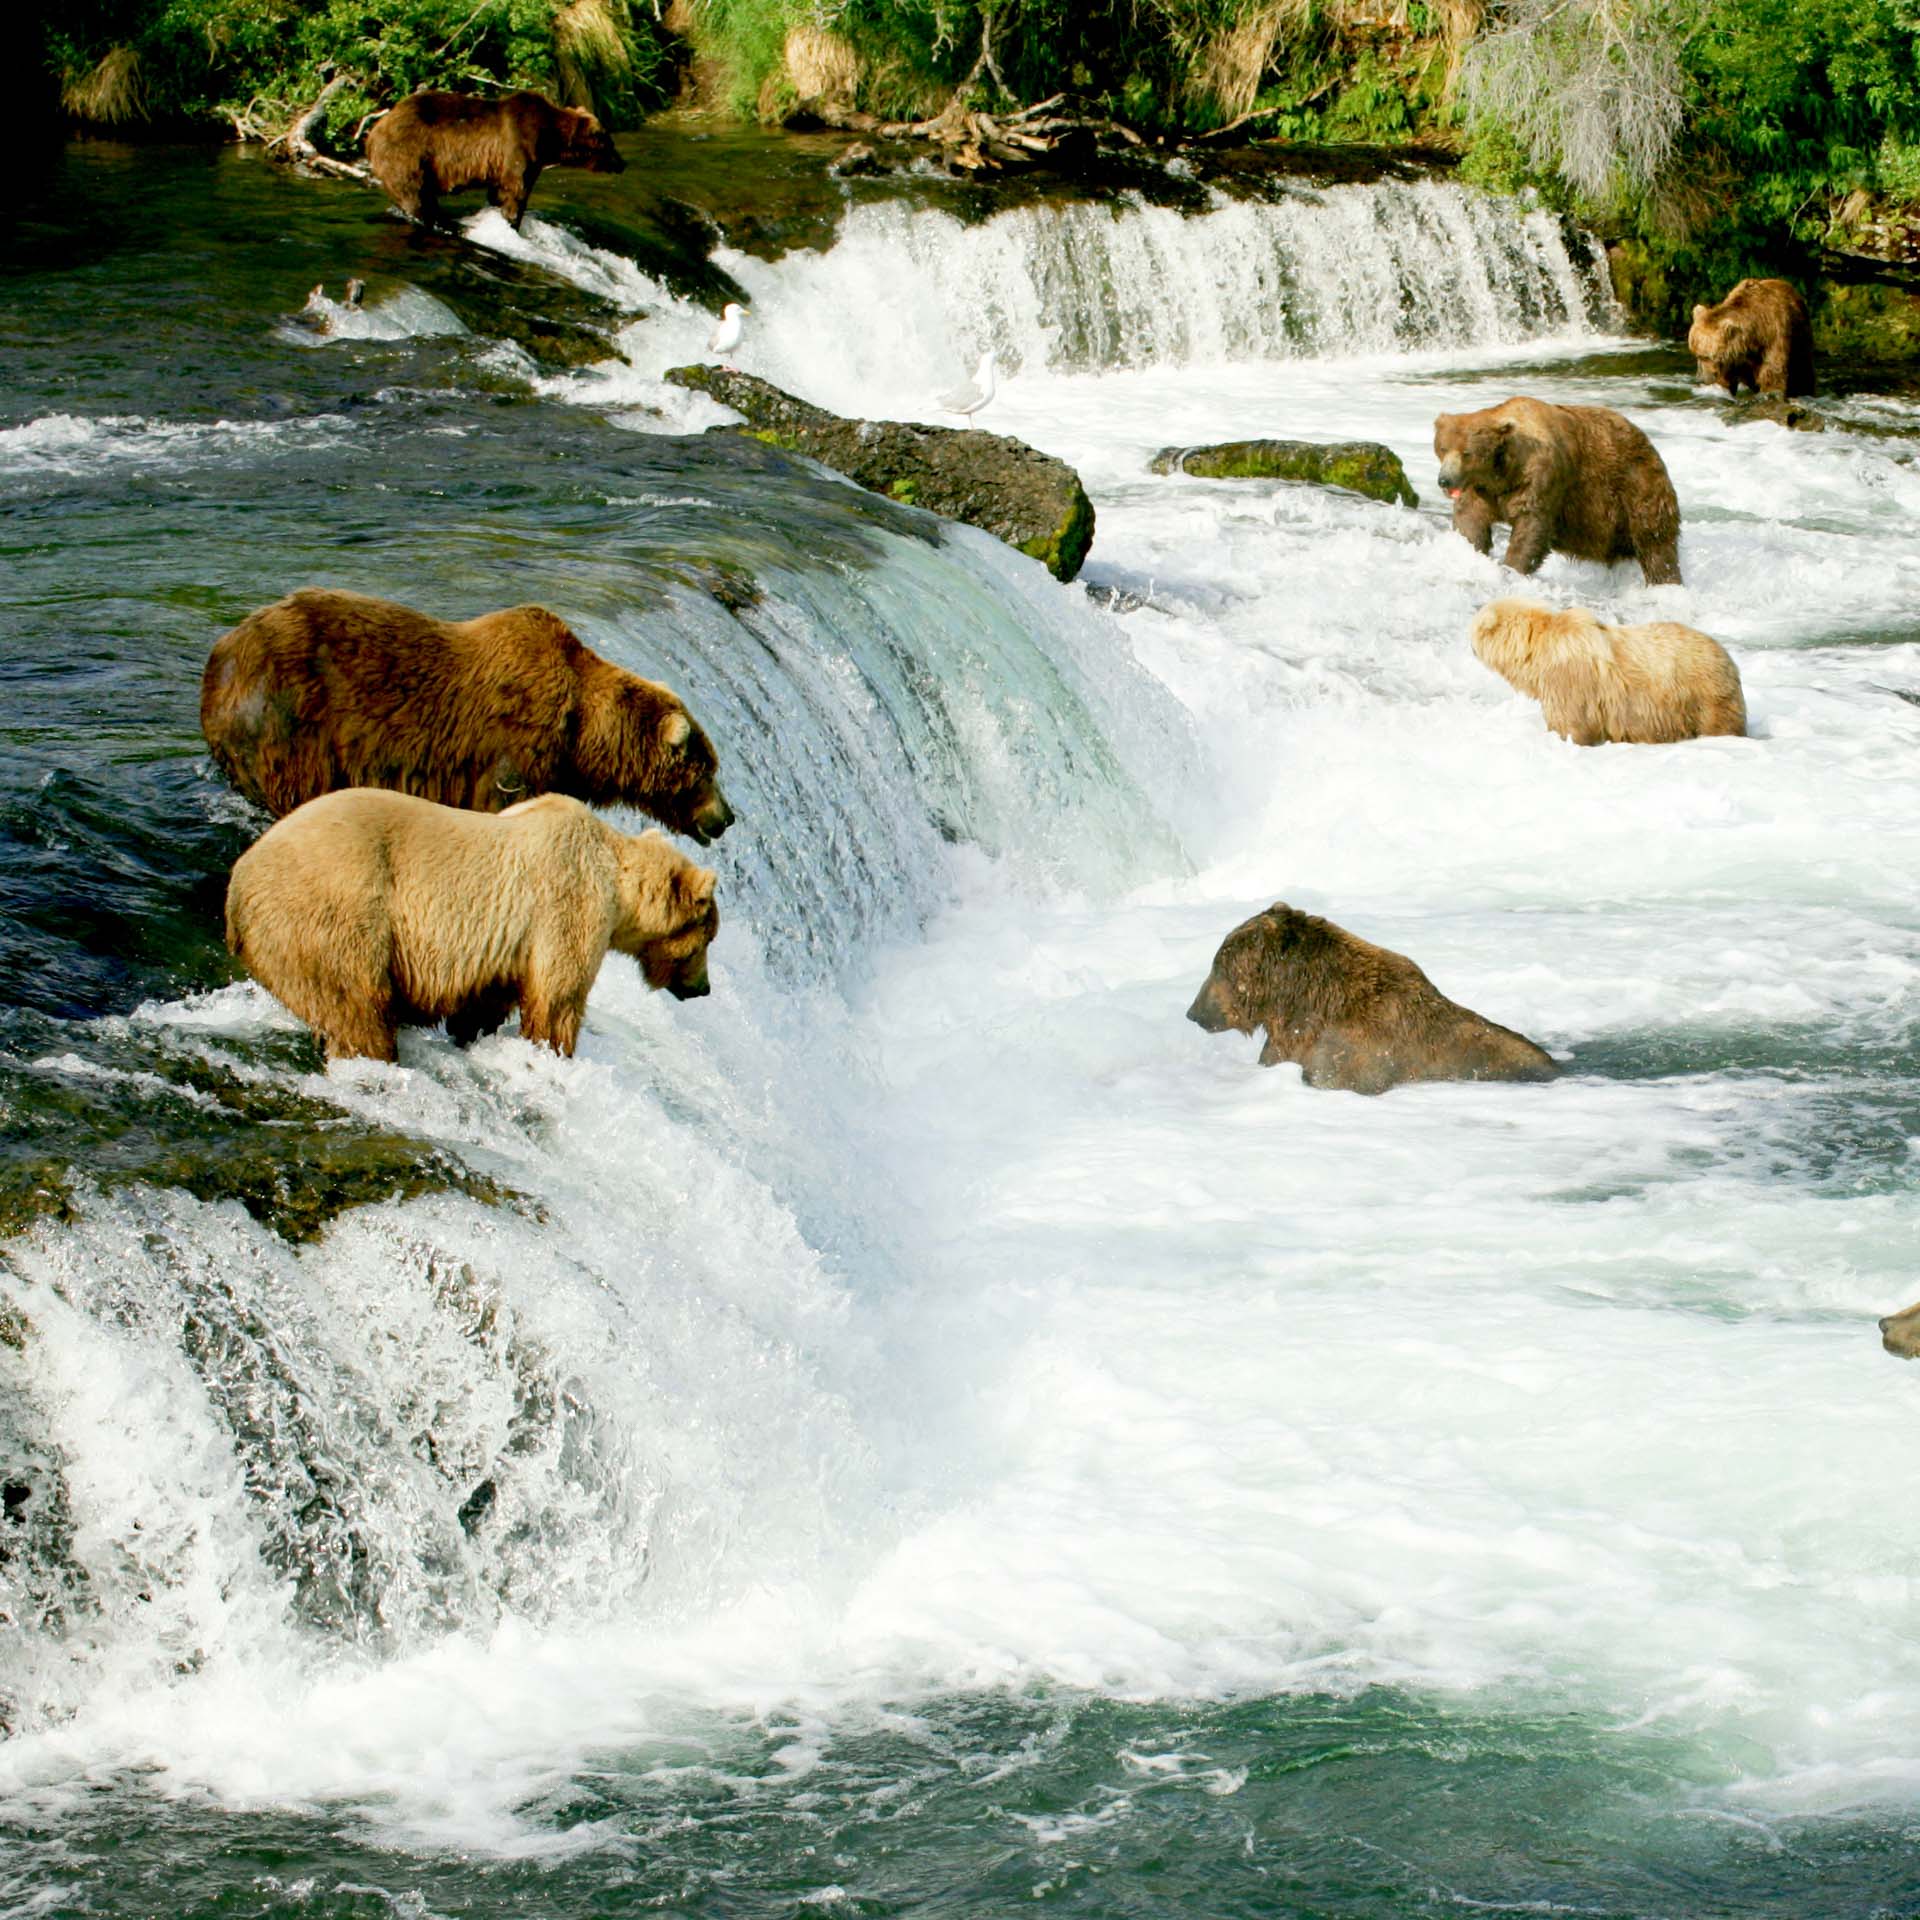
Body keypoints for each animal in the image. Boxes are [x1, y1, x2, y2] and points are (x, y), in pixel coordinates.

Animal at [202, 589, 735, 844]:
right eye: (706, 771)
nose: (727, 817)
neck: (579, 733)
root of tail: (222, 652)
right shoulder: (513, 749)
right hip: (290, 722)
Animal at [225, 789, 719, 1064]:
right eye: (706, 939)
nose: (705, 988)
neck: (617, 881)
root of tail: (237, 887)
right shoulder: (568, 902)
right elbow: (557, 997)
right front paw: (554, 1050)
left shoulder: (508, 946)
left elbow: (489, 998)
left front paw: (473, 1032)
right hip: (336, 912)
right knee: (357, 1004)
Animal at [365, 89, 624, 230]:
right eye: (610, 143)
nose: (622, 163)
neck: (550, 138)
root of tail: (375, 130)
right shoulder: (519, 144)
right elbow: (514, 191)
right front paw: (512, 221)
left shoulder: (522, 161)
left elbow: (499, 192)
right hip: (408, 153)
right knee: (414, 196)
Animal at [1434, 397, 1682, 587]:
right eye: (1443, 447)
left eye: (1467, 453)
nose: (1444, 480)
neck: (1502, 473)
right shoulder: (1481, 489)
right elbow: (1471, 519)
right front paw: (1470, 552)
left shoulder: (1540, 477)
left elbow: (1531, 526)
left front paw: (1512, 567)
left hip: (1635, 487)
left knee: (1655, 543)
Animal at [1470, 598, 1747, 746]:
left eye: (1473, 630)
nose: (1469, 646)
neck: (1539, 648)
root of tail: (1729, 660)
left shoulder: (1568, 679)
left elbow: (1569, 722)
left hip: (1703, 695)